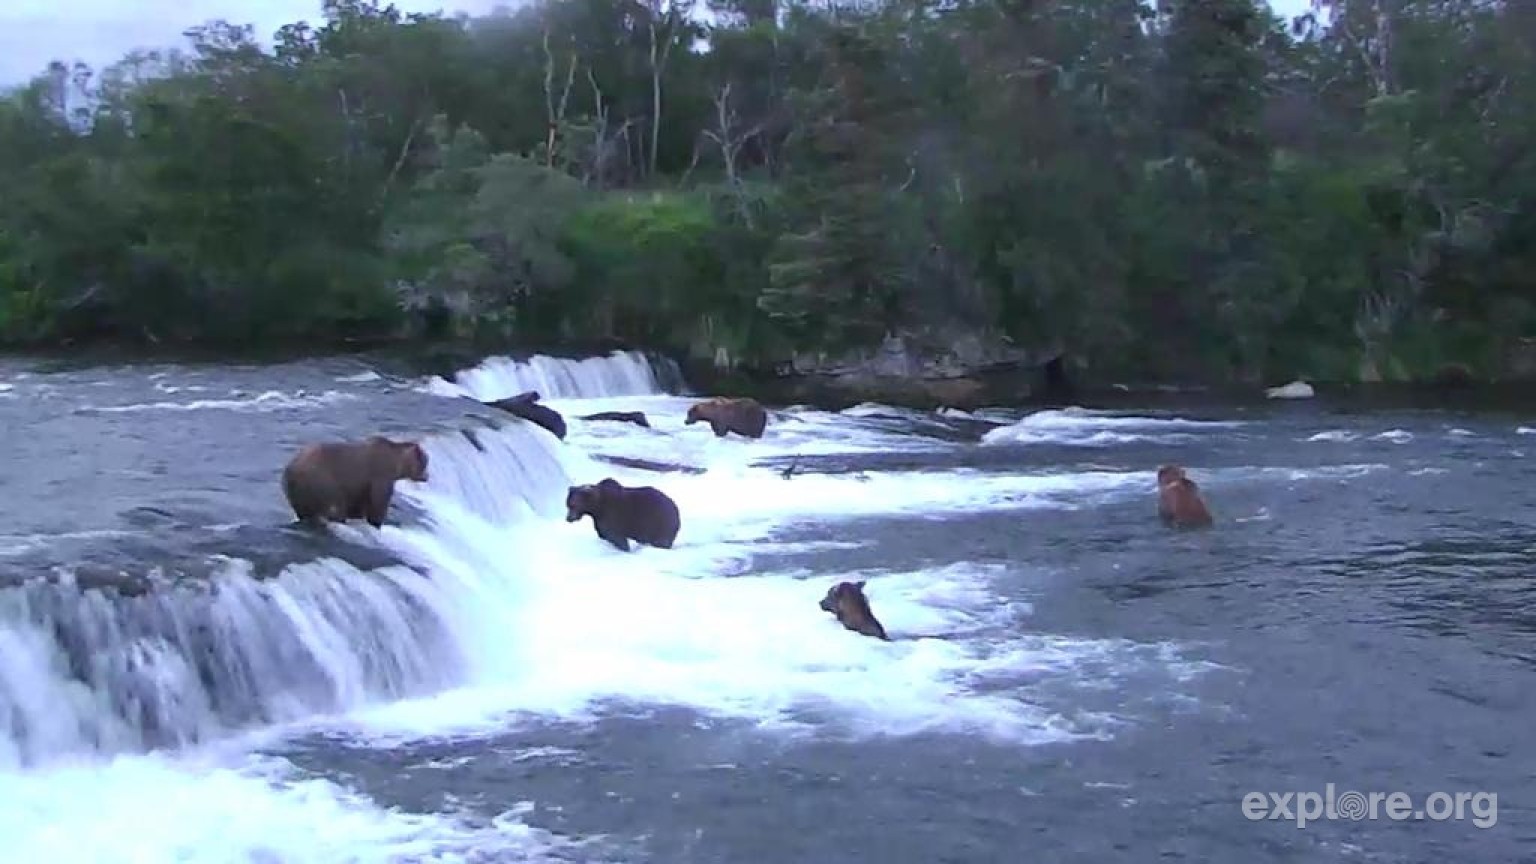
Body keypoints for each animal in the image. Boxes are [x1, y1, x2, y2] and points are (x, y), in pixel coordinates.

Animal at [281, 436, 429, 529]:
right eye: (424, 463)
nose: (426, 477)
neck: (396, 463)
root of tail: (290, 469)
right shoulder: (379, 475)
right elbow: (379, 502)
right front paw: (376, 522)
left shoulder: (360, 486)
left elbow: (361, 504)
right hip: (323, 481)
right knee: (335, 507)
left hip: (298, 492)